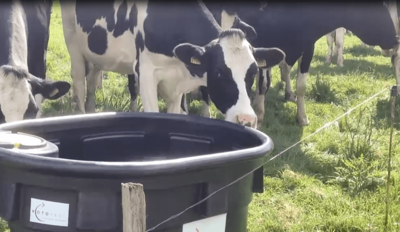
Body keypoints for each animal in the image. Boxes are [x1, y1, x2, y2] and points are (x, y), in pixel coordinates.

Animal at [59, 0, 286, 128]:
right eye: (219, 72)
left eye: (253, 74)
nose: (246, 120)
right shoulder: (146, 72)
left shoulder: (176, 84)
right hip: (71, 38)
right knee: (78, 79)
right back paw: (80, 113)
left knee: (92, 77)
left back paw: (91, 110)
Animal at [198, 1, 400, 127]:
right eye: (380, 10)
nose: (395, 40)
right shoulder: (261, 40)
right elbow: (263, 83)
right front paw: (260, 115)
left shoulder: (308, 47)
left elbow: (301, 86)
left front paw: (302, 117)